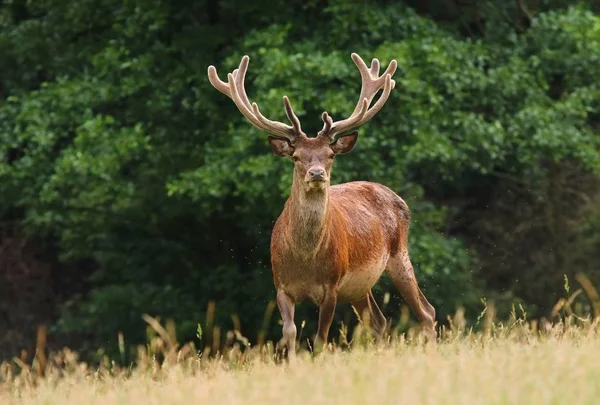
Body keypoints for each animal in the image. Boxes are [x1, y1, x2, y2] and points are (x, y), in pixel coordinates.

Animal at [207, 51, 436, 356]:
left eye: (330, 154)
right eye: (296, 156)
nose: (316, 174)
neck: (305, 260)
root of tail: (396, 198)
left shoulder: (331, 286)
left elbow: (320, 337)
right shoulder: (281, 286)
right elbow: (289, 332)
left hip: (400, 256)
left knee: (426, 311)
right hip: (361, 287)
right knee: (378, 321)